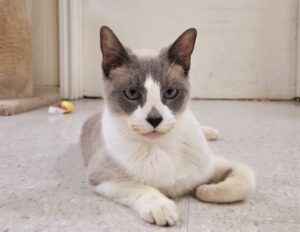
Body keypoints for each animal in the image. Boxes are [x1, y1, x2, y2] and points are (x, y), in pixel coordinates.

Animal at [81, 25, 254, 227]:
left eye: (170, 92)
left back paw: (211, 132)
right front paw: (162, 207)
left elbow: (244, 180)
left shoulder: (211, 164)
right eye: (132, 93)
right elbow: (140, 186)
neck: (159, 147)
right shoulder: (101, 176)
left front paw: (204, 190)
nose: (155, 119)